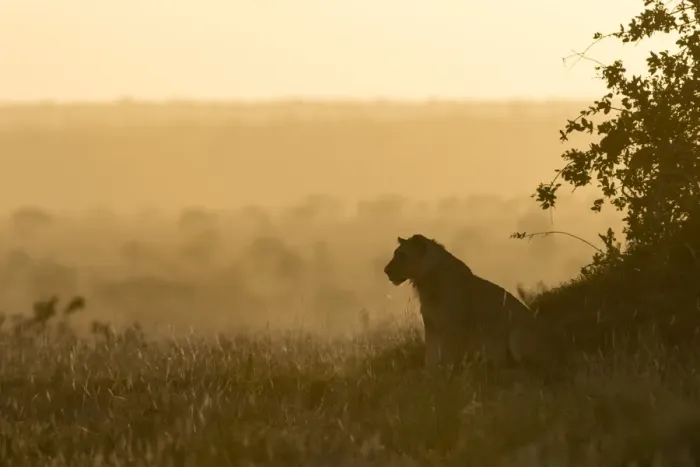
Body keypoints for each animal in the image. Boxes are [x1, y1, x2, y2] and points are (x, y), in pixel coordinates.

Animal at [383, 234, 565, 374]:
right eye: (395, 254)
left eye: (402, 255)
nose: (386, 270)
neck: (425, 281)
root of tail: (558, 350)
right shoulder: (432, 325)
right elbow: (431, 355)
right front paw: (430, 376)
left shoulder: (453, 327)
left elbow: (447, 354)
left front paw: (446, 375)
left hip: (518, 333)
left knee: (531, 368)